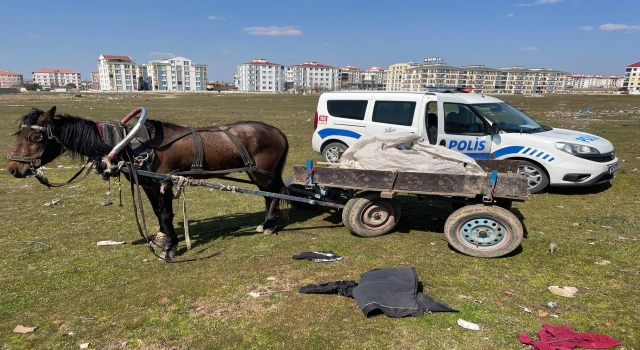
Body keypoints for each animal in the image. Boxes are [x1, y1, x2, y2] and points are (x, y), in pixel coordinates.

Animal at [6, 106, 292, 260]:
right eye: (18, 133)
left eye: (35, 136)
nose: (13, 168)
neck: (127, 143)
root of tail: (277, 131)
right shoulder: (147, 184)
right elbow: (157, 213)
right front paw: (162, 239)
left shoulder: (162, 182)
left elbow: (165, 214)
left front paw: (171, 248)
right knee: (270, 195)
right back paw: (267, 223)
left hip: (262, 173)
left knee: (273, 194)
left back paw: (269, 225)